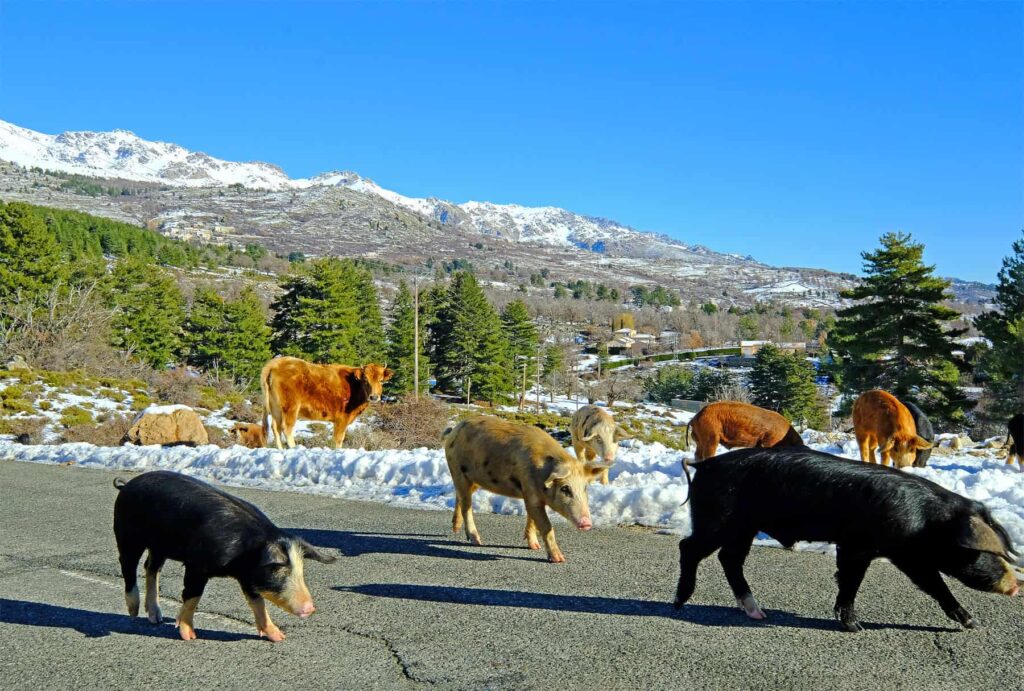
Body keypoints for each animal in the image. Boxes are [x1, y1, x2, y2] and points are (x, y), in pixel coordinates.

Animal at [260, 356, 394, 449]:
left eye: (381, 380)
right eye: (365, 380)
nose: (374, 397)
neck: (354, 384)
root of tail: (276, 363)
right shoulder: (342, 419)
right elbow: (338, 439)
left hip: (275, 407)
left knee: (275, 428)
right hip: (290, 407)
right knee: (286, 428)